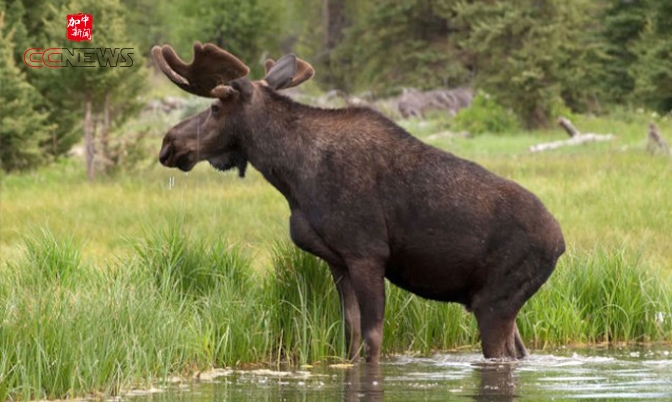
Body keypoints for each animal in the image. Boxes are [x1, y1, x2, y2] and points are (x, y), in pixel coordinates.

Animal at [154, 42, 568, 362]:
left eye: (215, 107)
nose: (169, 143)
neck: (292, 176)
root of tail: (561, 244)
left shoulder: (367, 253)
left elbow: (372, 340)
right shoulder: (338, 260)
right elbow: (350, 337)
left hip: (493, 302)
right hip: (501, 304)